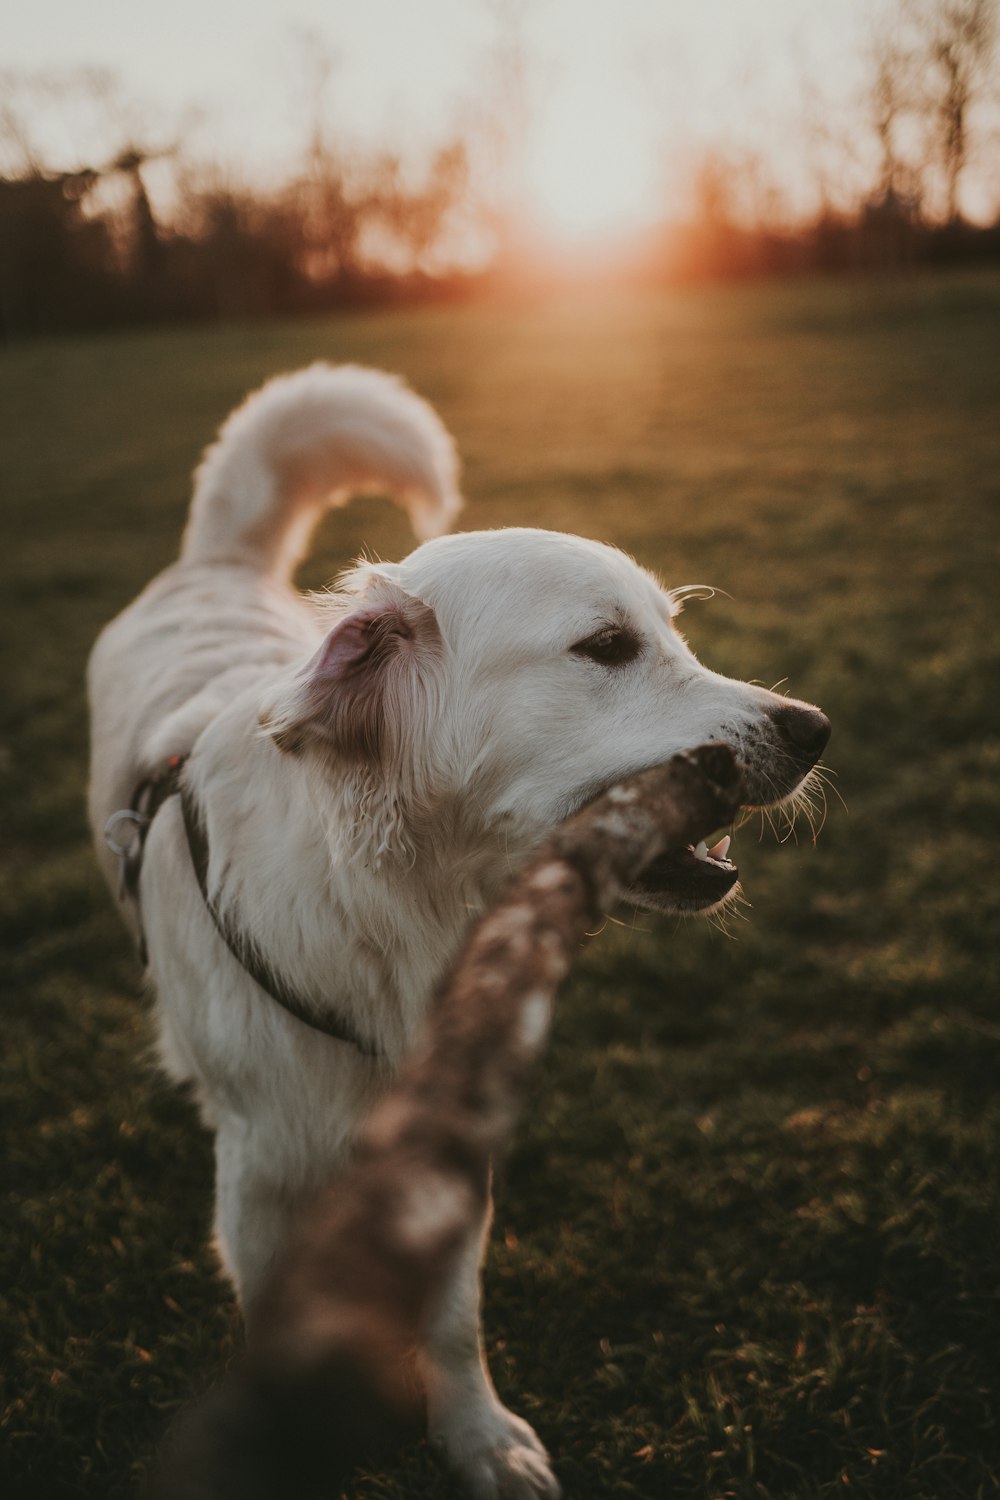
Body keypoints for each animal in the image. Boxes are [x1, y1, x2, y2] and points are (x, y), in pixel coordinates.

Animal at [91, 366, 827, 1500]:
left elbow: (452, 1326)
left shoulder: (446, 1156)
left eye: (671, 633)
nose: (814, 730)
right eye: (607, 647)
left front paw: (479, 1438)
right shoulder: (261, 1180)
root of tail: (214, 563)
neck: (391, 909)